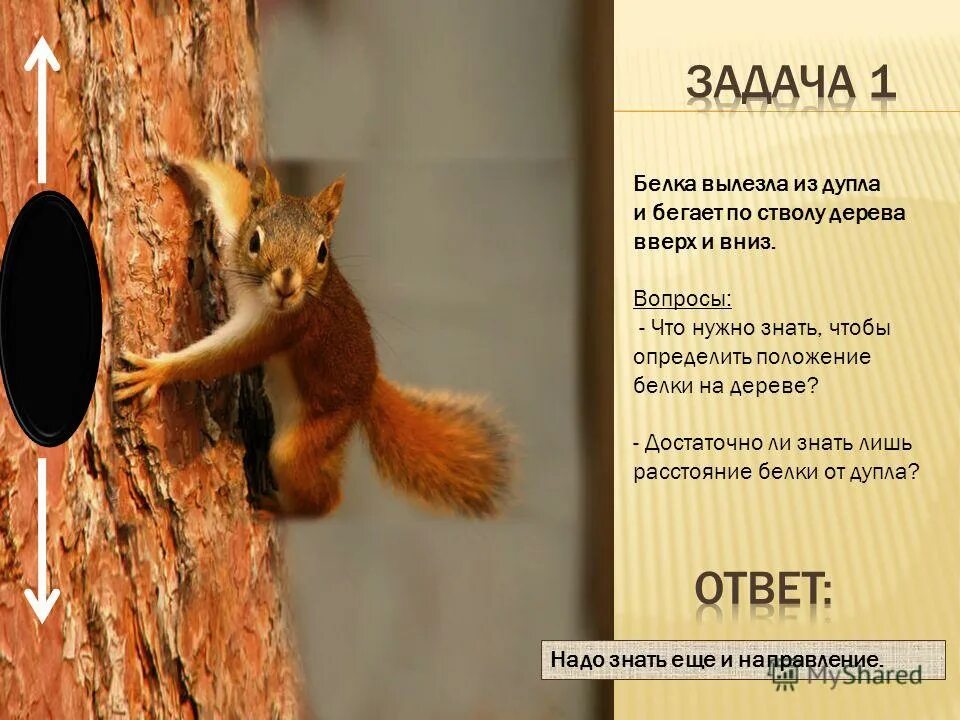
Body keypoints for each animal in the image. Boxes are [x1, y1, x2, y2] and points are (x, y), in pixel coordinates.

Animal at [113, 159, 511, 518]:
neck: (258, 293)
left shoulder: (282, 327)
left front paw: (156, 371)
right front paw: (181, 158)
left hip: (315, 435)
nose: (286, 285)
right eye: (255, 240)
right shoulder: (236, 232)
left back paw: (280, 508)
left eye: (322, 252)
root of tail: (369, 386)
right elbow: (230, 189)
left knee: (322, 496)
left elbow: (222, 356)